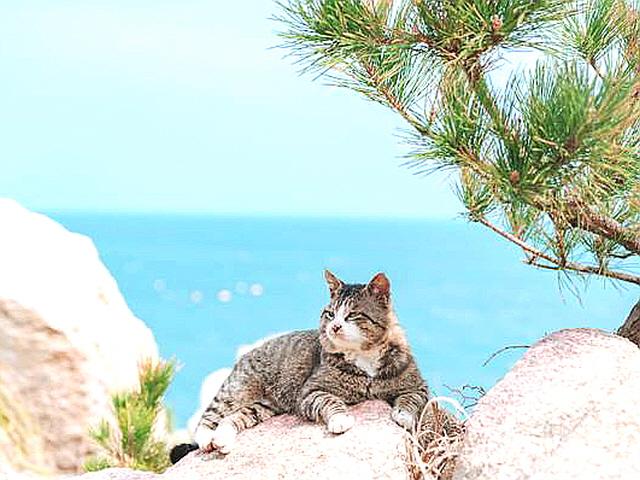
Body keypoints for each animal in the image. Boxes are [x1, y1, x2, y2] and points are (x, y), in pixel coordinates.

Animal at [170, 270, 430, 462]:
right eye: (330, 314)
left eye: (352, 315)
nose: (334, 326)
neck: (364, 356)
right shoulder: (309, 392)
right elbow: (330, 400)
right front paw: (340, 419)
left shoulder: (419, 386)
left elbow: (411, 399)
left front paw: (404, 416)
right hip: (237, 390)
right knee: (210, 417)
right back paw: (207, 439)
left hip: (263, 407)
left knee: (232, 419)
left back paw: (222, 440)